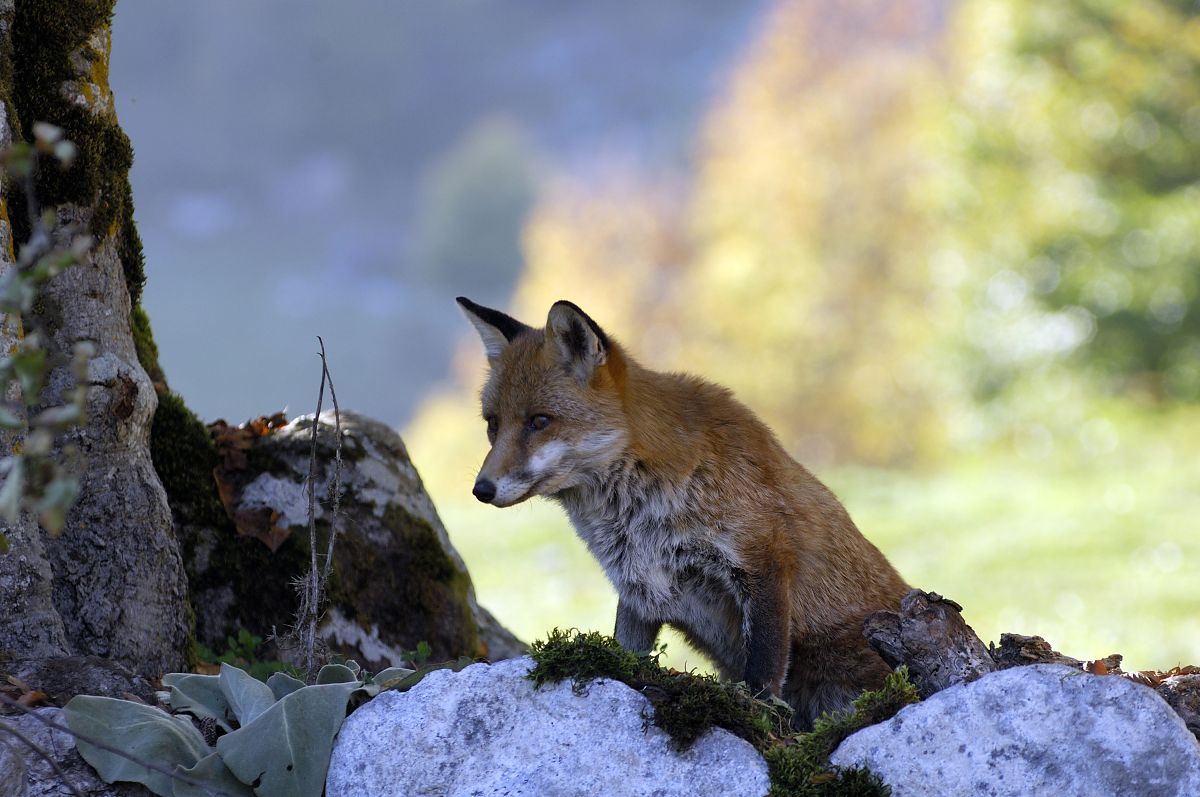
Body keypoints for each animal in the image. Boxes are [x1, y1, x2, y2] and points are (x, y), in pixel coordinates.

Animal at [457, 296, 909, 728]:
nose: (481, 490)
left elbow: (762, 677)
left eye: (539, 421)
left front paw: (757, 718)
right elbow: (625, 655)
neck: (639, 512)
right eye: (492, 424)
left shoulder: (763, 560)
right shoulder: (639, 587)